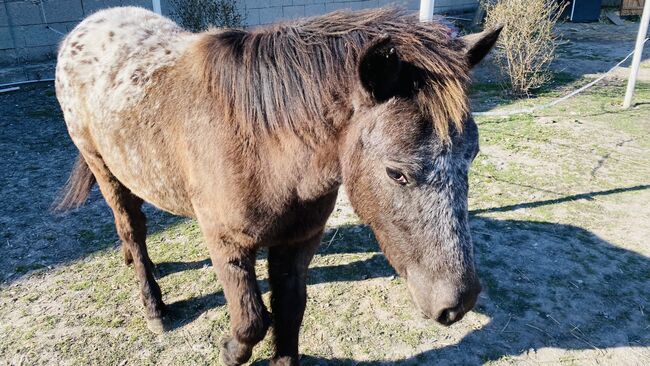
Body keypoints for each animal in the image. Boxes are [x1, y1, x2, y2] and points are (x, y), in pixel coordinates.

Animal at [54, 6, 502, 366]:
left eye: (473, 155)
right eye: (396, 173)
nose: (458, 304)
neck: (261, 145)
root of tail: (86, 28)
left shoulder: (297, 241)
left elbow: (289, 313)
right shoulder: (226, 242)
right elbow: (253, 319)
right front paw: (229, 351)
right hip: (102, 167)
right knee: (131, 226)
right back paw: (154, 307)